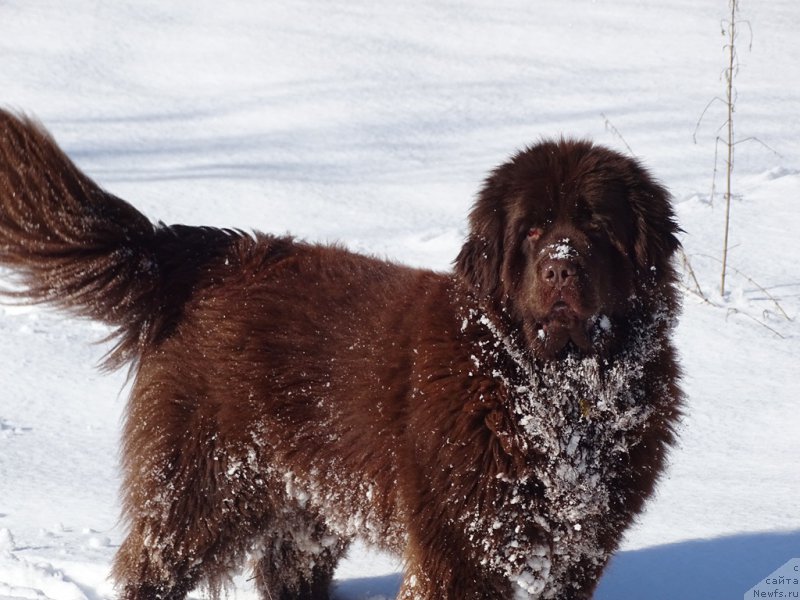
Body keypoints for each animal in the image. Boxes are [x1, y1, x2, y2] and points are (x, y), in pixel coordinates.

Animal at [0, 109, 680, 600]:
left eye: (596, 228)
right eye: (534, 230)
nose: (560, 266)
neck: (555, 390)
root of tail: (213, 256)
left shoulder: (575, 550)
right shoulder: (461, 547)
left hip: (306, 495)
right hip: (207, 482)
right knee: (154, 564)